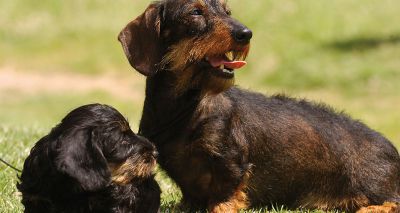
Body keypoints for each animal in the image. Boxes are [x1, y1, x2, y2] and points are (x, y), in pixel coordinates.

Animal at [118, 0, 400, 212]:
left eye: (228, 11)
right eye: (195, 11)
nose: (245, 34)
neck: (184, 108)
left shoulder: (231, 163)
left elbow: (225, 195)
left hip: (373, 186)